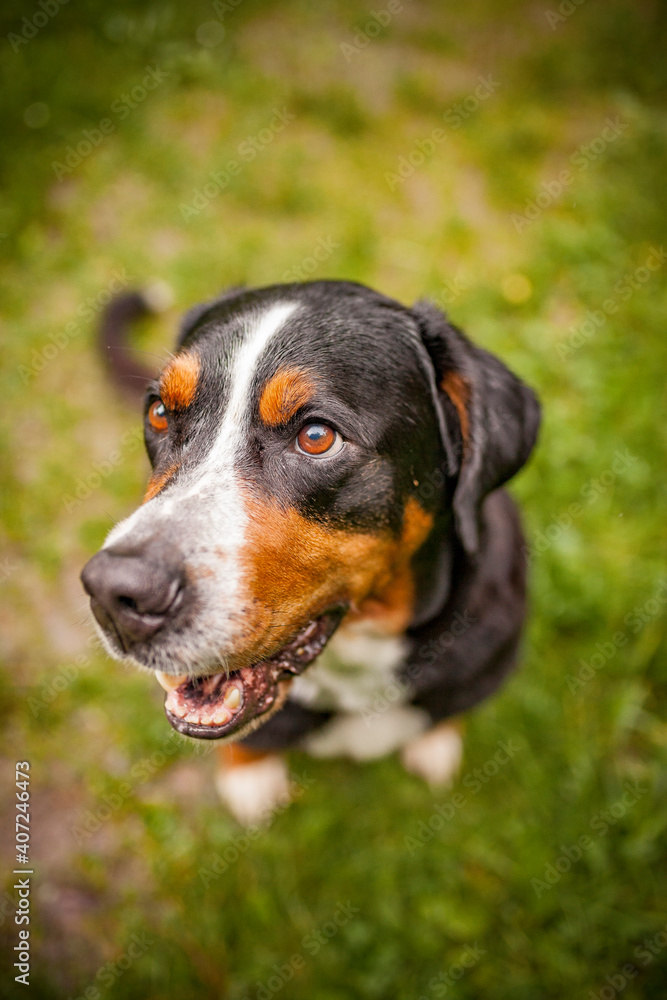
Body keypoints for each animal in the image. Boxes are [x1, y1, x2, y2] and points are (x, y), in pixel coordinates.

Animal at [81, 280, 540, 820]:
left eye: (317, 436)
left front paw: (435, 741)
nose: (112, 593)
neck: (357, 659)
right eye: (158, 412)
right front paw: (250, 777)